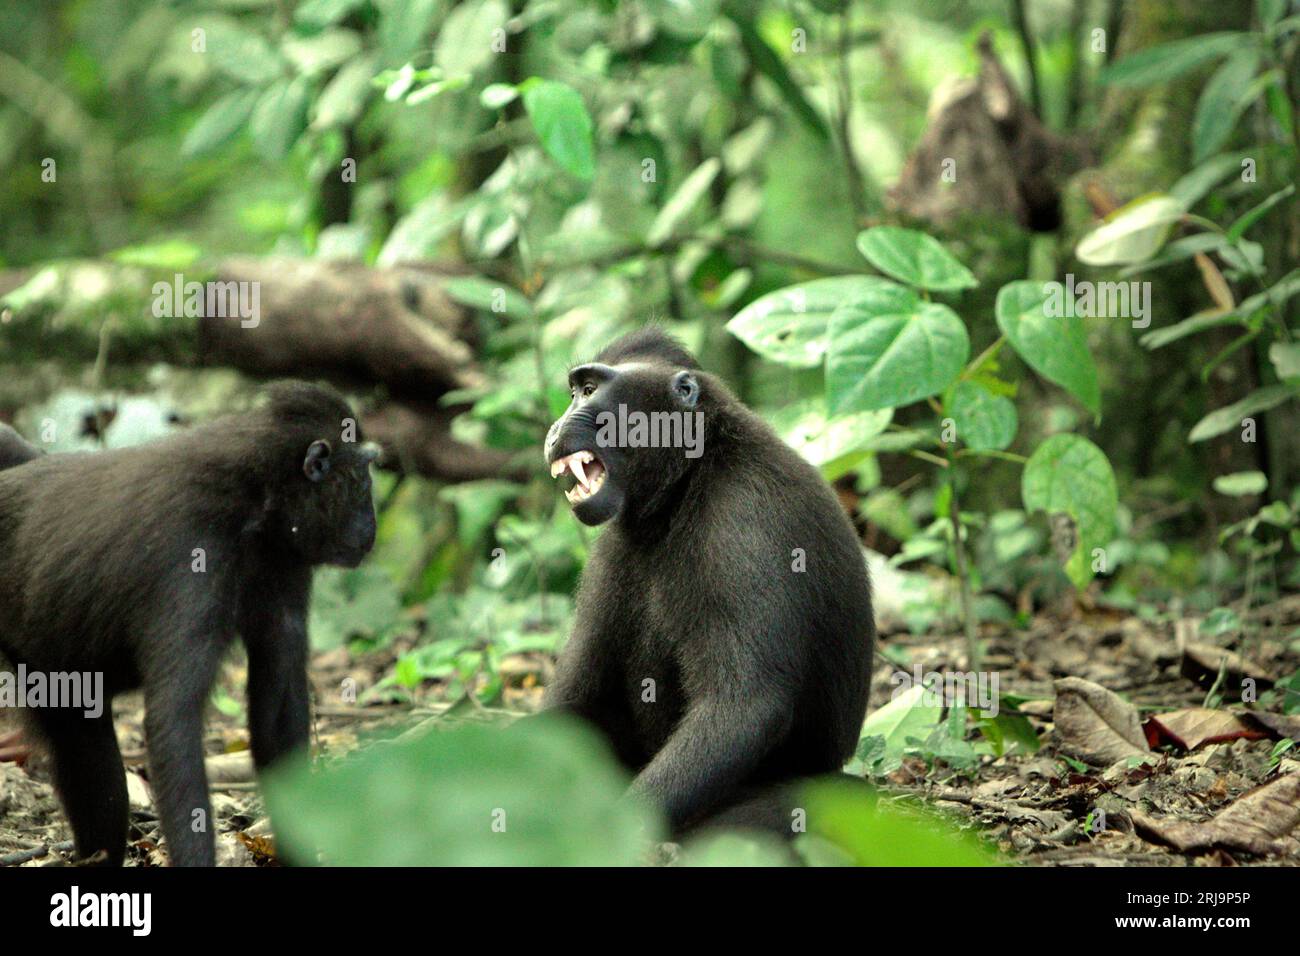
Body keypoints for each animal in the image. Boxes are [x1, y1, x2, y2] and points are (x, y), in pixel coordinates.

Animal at [0, 382, 378, 865]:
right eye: (364, 479)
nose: (372, 527)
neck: (254, 498)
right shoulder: (193, 553)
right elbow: (173, 719)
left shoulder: (286, 560)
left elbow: (277, 701)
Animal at [542, 327, 875, 836]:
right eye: (575, 391)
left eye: (590, 390)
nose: (555, 428)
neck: (690, 476)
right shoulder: (613, 546)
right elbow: (576, 695)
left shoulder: (745, 519)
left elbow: (744, 705)